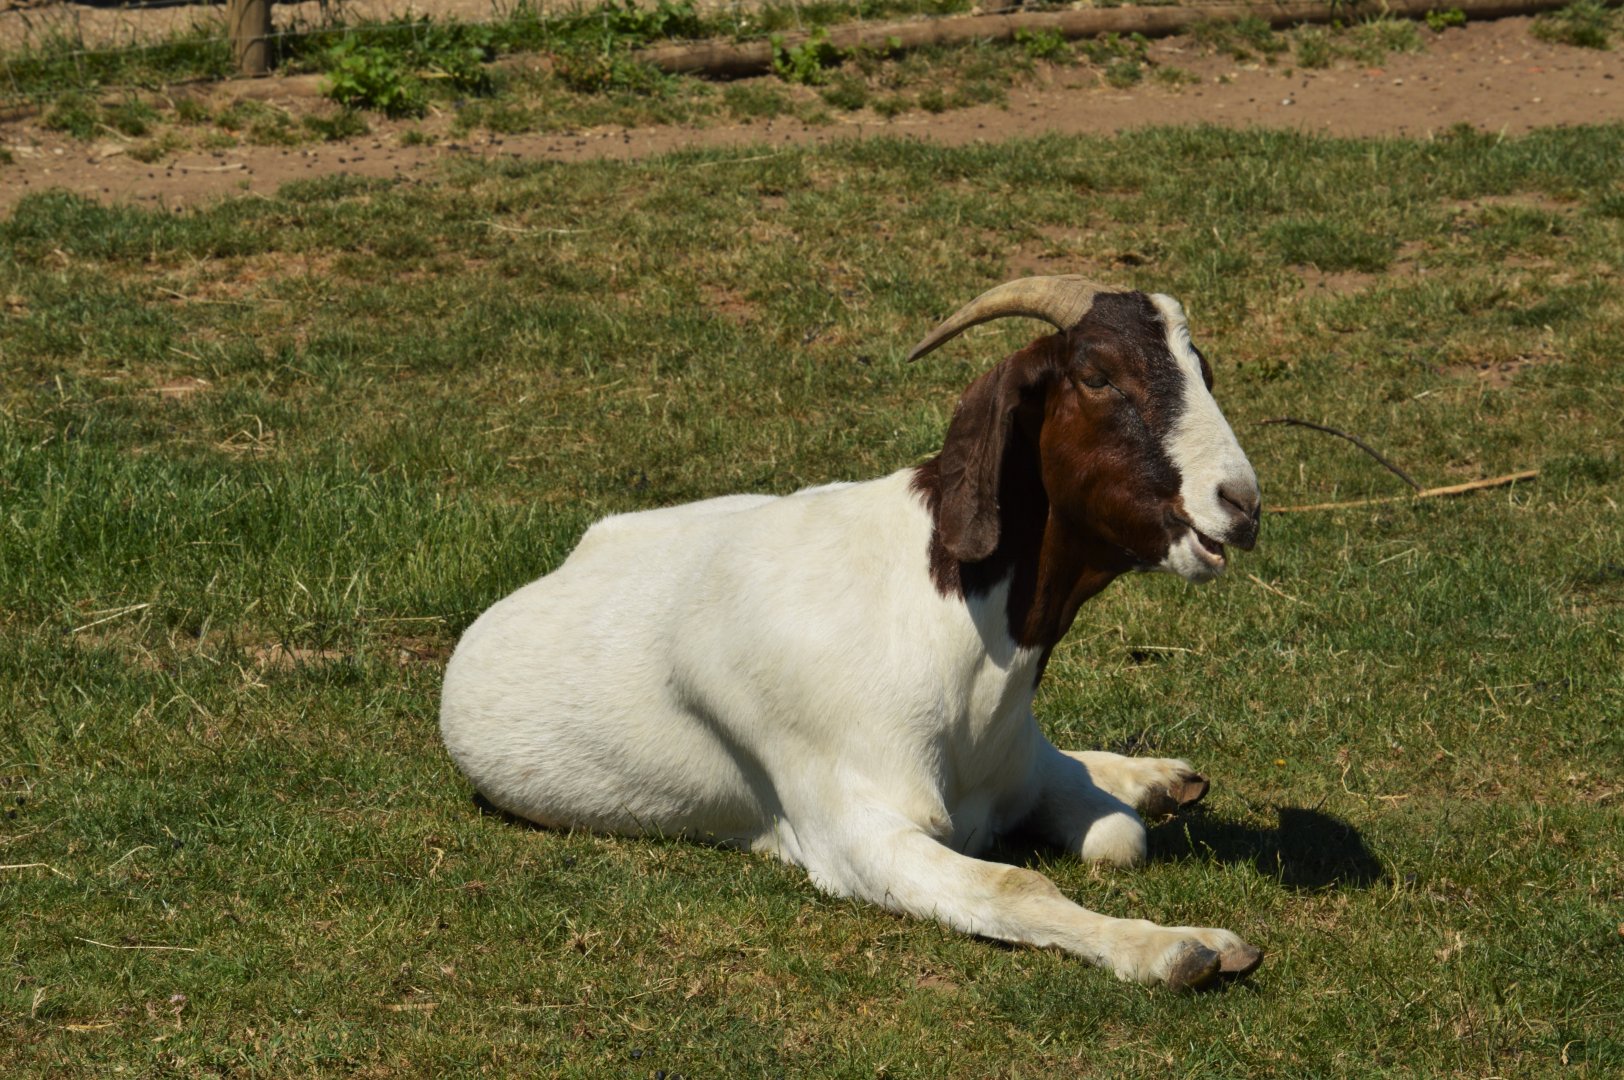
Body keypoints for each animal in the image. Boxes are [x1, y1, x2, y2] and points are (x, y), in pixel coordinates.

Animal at [440, 276, 1265, 990]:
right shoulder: (856, 832)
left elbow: (1120, 837)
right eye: (1097, 375)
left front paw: (1142, 796)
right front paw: (1175, 948)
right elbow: (1017, 884)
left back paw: (1157, 775)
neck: (945, 621)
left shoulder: (1014, 767)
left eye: (1203, 370)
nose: (1242, 502)